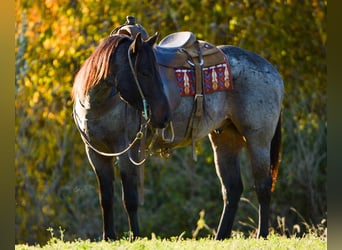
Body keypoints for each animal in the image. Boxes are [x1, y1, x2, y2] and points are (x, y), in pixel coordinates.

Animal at [72, 17, 284, 240]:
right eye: (145, 72)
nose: (163, 115)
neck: (100, 104)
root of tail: (271, 70)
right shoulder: (97, 154)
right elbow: (106, 198)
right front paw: (109, 237)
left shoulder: (127, 152)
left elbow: (129, 199)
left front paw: (135, 236)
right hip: (226, 139)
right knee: (232, 189)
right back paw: (220, 236)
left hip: (258, 140)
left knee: (263, 185)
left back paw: (262, 234)